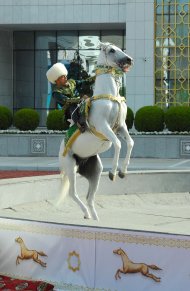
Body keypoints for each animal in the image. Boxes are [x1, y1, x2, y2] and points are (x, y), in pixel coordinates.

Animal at [58, 42, 134, 221]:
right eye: (112, 50)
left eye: (119, 47)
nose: (129, 60)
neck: (110, 97)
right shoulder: (103, 126)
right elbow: (118, 144)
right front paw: (113, 173)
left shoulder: (121, 126)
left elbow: (130, 143)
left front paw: (123, 172)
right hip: (70, 166)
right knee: (73, 193)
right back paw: (86, 213)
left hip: (95, 170)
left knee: (89, 197)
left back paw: (94, 217)